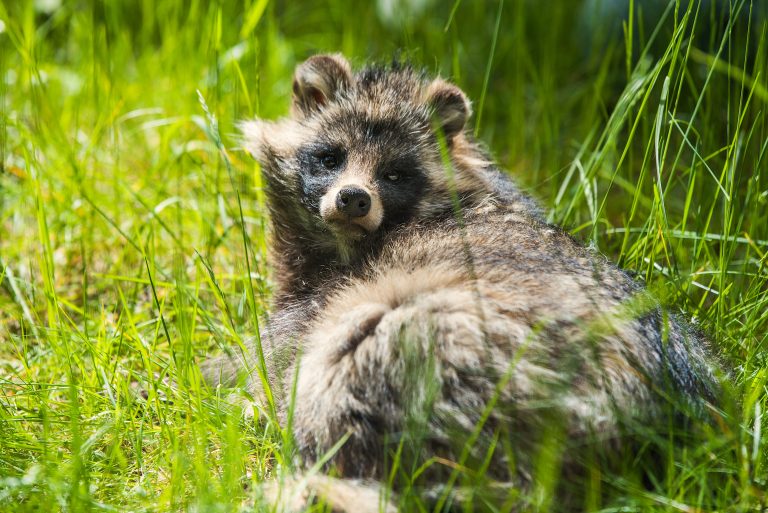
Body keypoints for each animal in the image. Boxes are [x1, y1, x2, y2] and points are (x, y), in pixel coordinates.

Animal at [231, 54, 716, 510]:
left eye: (394, 174)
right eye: (330, 158)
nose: (353, 198)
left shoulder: (319, 301)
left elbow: (269, 365)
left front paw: (247, 401)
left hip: (447, 347)